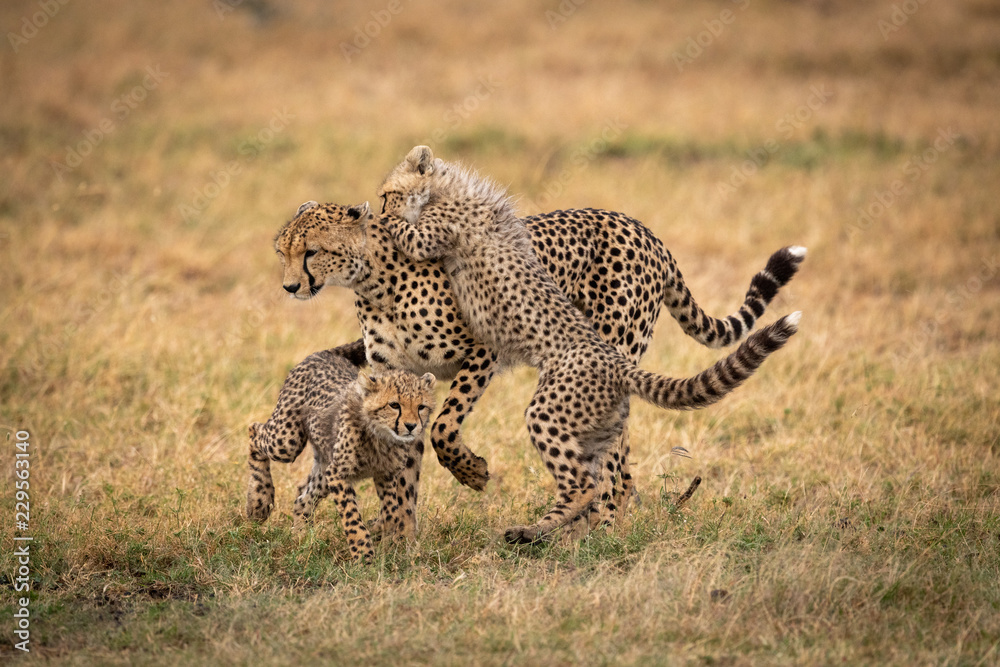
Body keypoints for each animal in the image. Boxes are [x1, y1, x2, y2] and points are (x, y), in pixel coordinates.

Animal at [246, 340, 436, 561]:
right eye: (394, 405)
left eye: (421, 407)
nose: (411, 426)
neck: (381, 436)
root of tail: (325, 353)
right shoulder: (338, 474)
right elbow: (352, 517)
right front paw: (364, 555)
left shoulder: (386, 475)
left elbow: (392, 511)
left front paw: (385, 538)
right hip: (287, 440)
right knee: (254, 430)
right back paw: (259, 502)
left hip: (324, 466)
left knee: (303, 499)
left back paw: (301, 538)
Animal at [273, 186, 804, 526]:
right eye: (282, 251)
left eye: (312, 252)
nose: (289, 287)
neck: (373, 279)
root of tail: (640, 227)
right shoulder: (394, 381)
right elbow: (402, 465)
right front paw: (395, 539)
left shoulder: (483, 350)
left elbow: (444, 427)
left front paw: (471, 472)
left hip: (602, 354)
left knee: (612, 466)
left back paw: (602, 536)